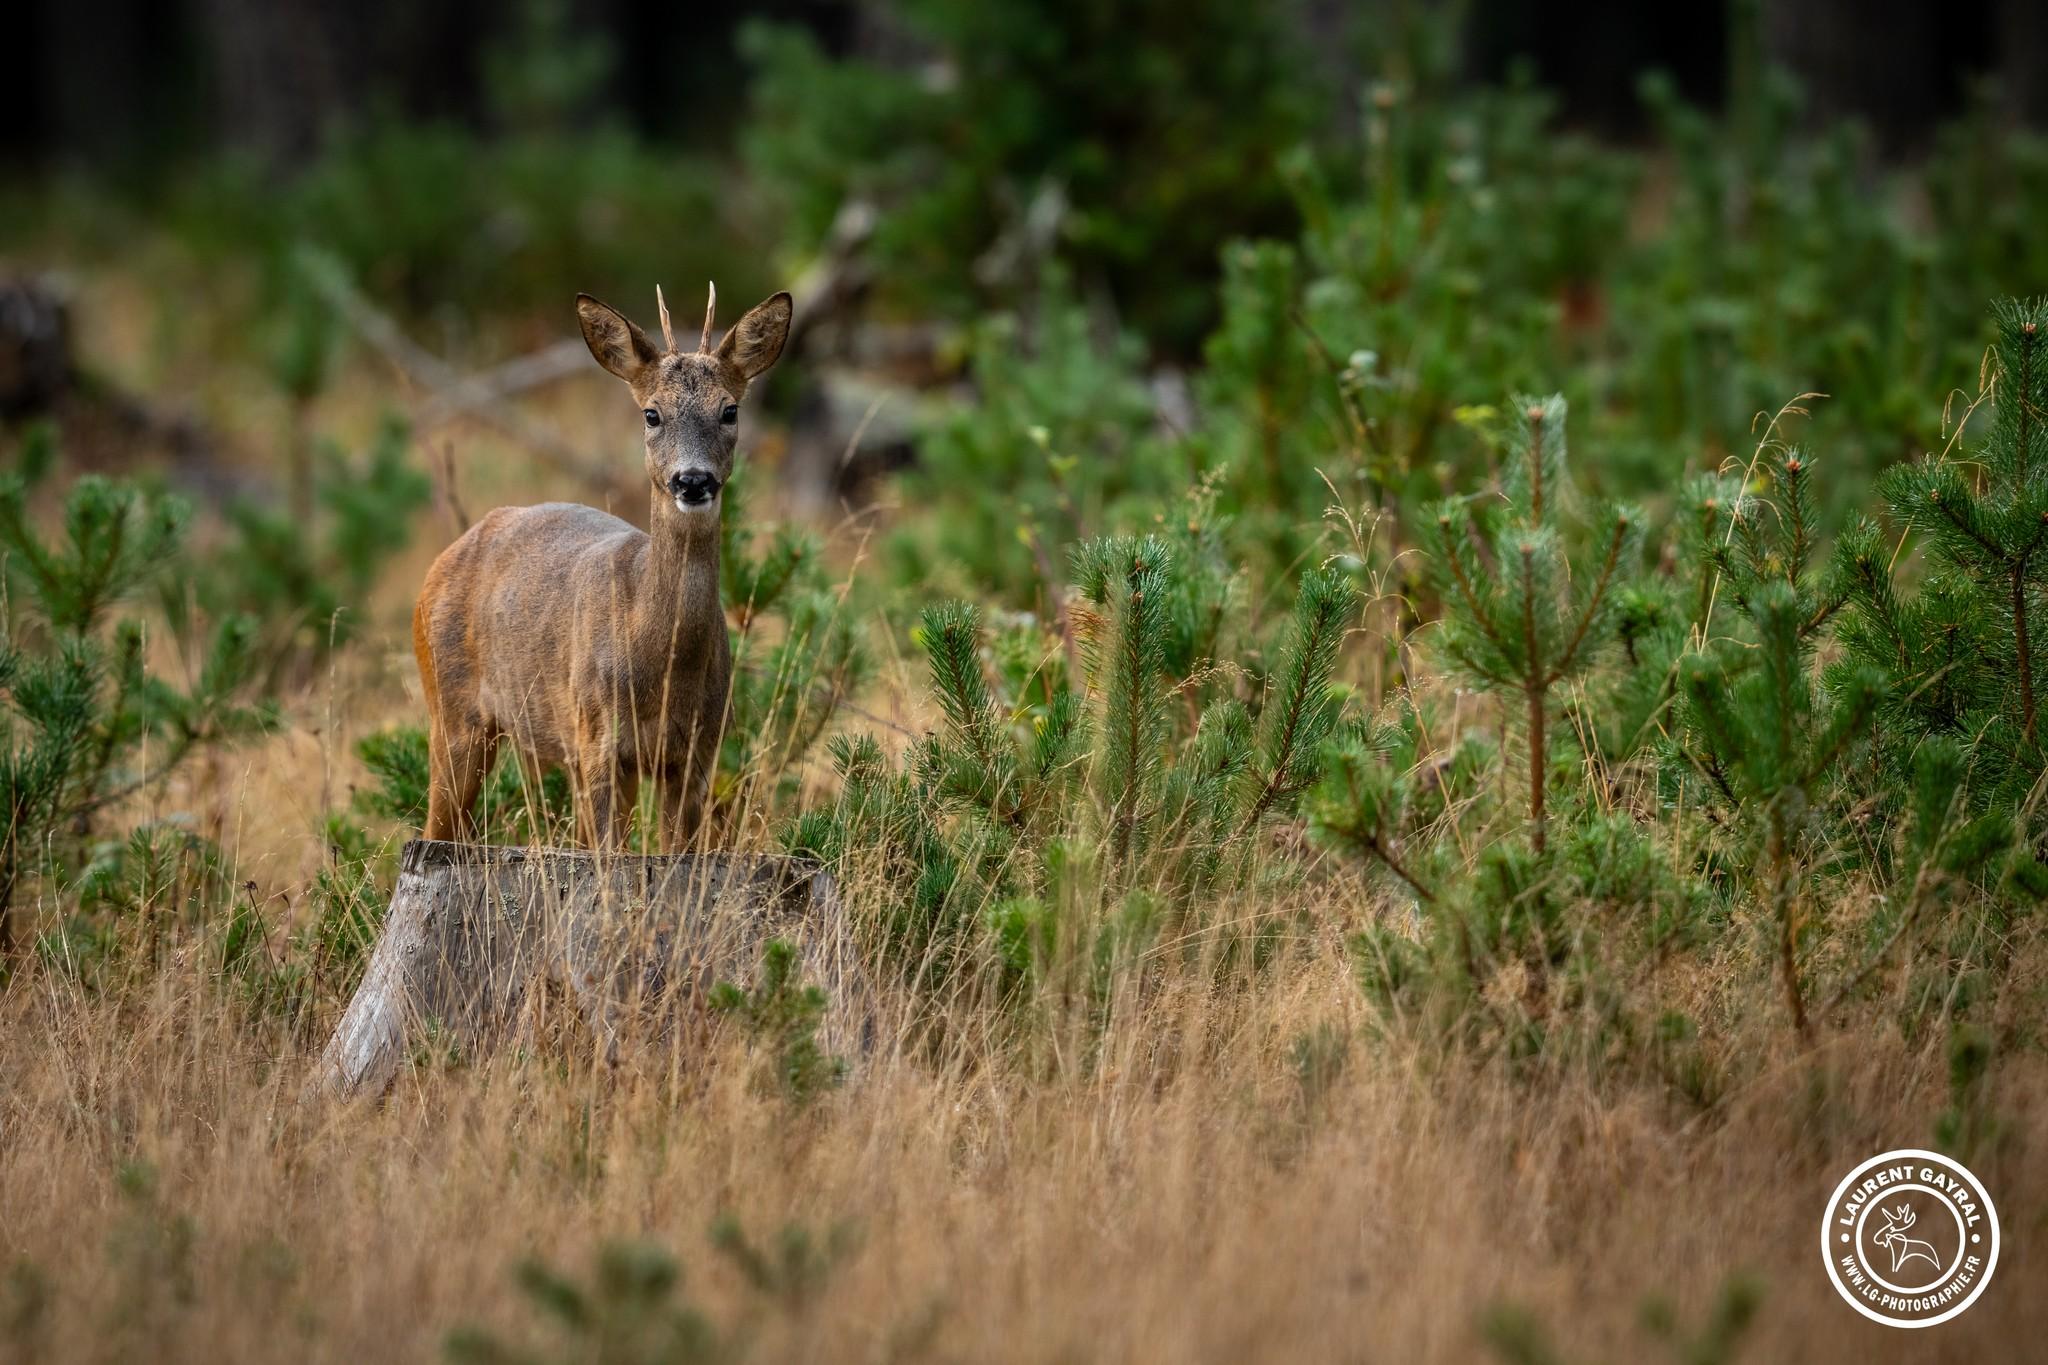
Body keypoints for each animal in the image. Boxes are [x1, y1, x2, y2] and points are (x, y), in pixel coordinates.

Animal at [409, 284, 790, 847]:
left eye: (729, 411)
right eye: (651, 413)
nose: (692, 480)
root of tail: (439, 566)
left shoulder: (698, 752)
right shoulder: (598, 739)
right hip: (452, 708)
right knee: (437, 825)